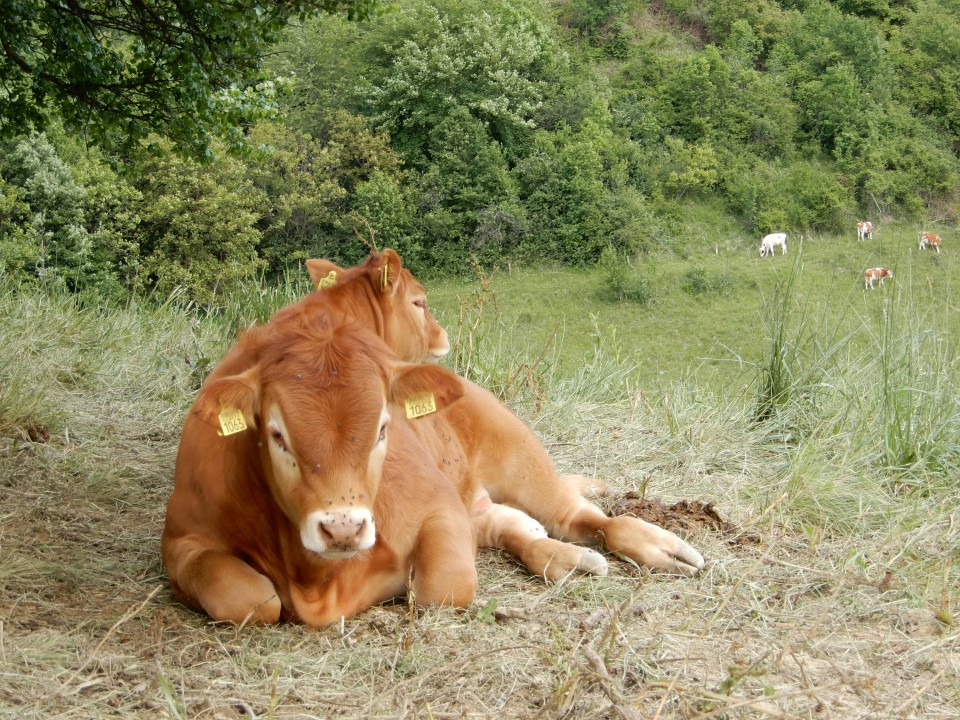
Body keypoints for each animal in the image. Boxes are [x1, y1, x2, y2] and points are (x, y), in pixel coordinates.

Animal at [164, 318, 484, 628]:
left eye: (382, 429)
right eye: (278, 435)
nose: (343, 529)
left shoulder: (440, 505)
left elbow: (444, 587)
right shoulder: (182, 541)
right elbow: (246, 598)